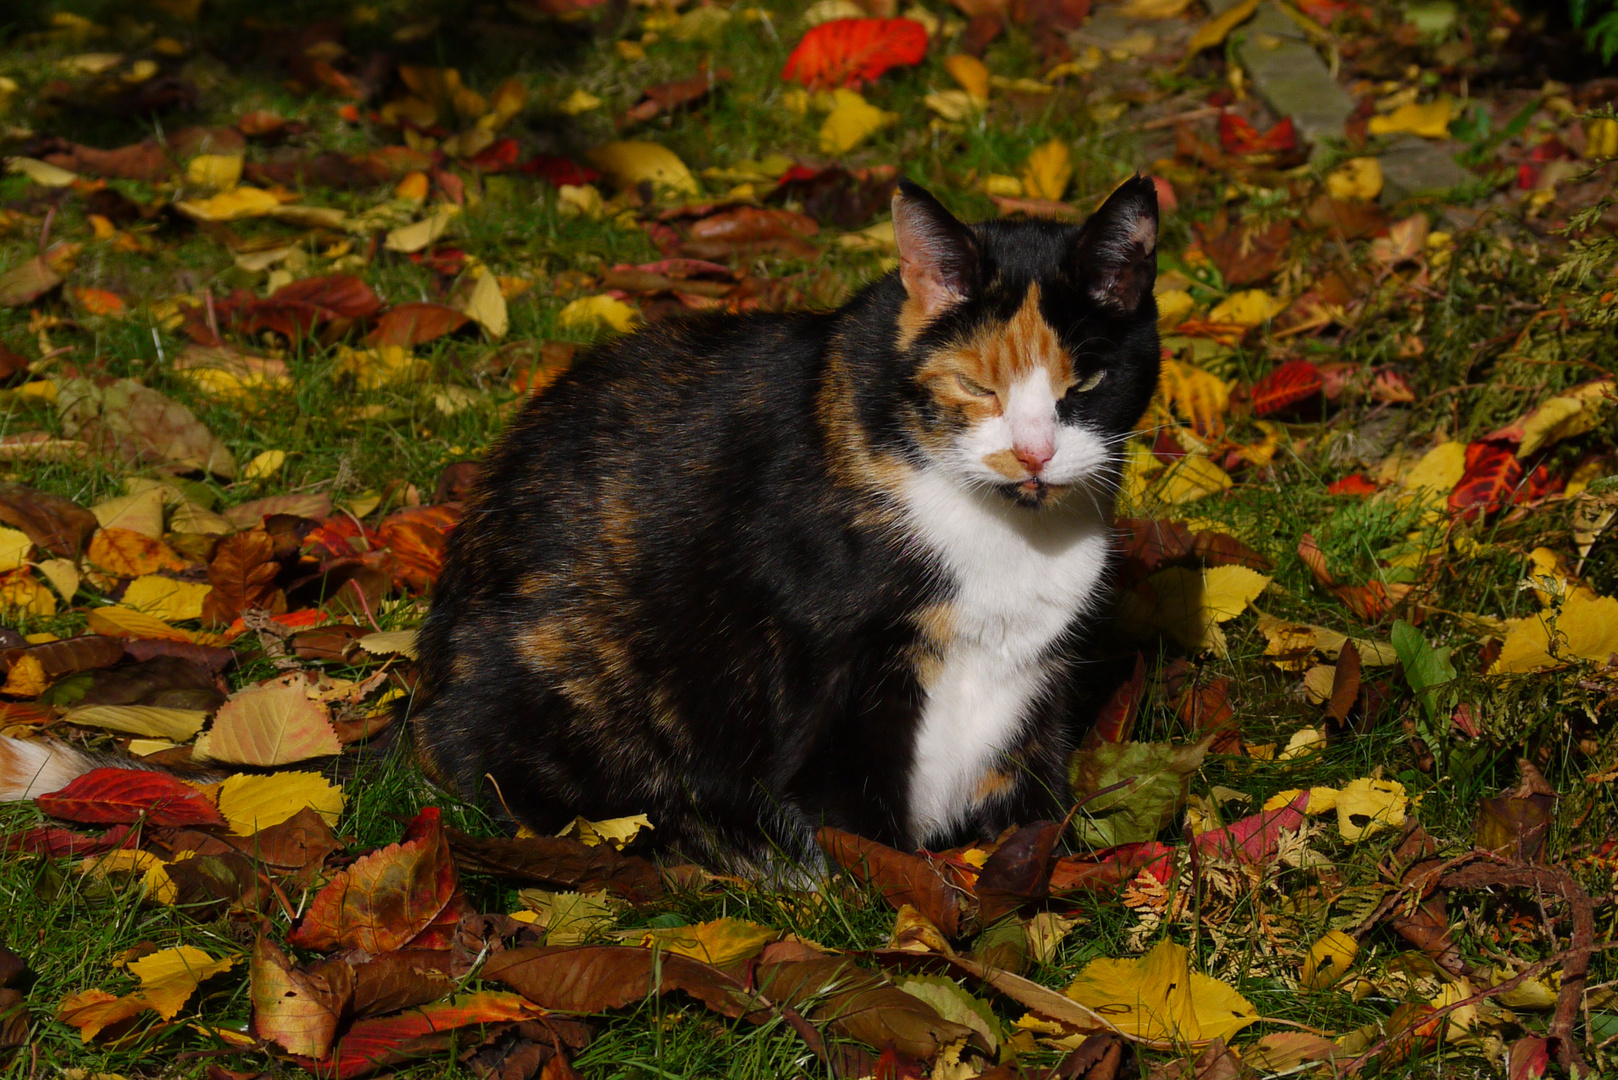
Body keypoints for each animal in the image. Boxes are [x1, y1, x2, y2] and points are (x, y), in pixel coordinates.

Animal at [404, 177, 1164, 867]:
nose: (1034, 453)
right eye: (977, 386)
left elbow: (1039, 792)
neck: (1007, 533)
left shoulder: (1043, 673)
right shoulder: (829, 662)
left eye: (1088, 382)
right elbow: (853, 815)